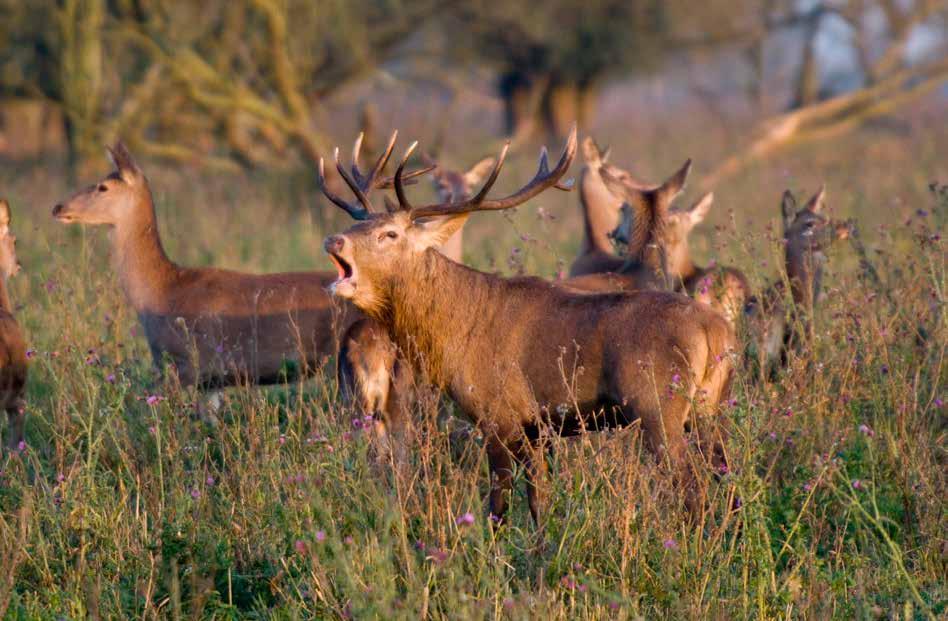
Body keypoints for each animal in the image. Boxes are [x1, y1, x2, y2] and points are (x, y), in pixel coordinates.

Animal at [322, 127, 736, 524]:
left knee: (693, 489)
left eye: (389, 234)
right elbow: (539, 502)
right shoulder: (538, 428)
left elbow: (498, 506)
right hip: (709, 408)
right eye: (358, 225)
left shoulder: (498, 414)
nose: (333, 239)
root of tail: (717, 333)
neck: (455, 332)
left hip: (657, 406)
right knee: (727, 479)